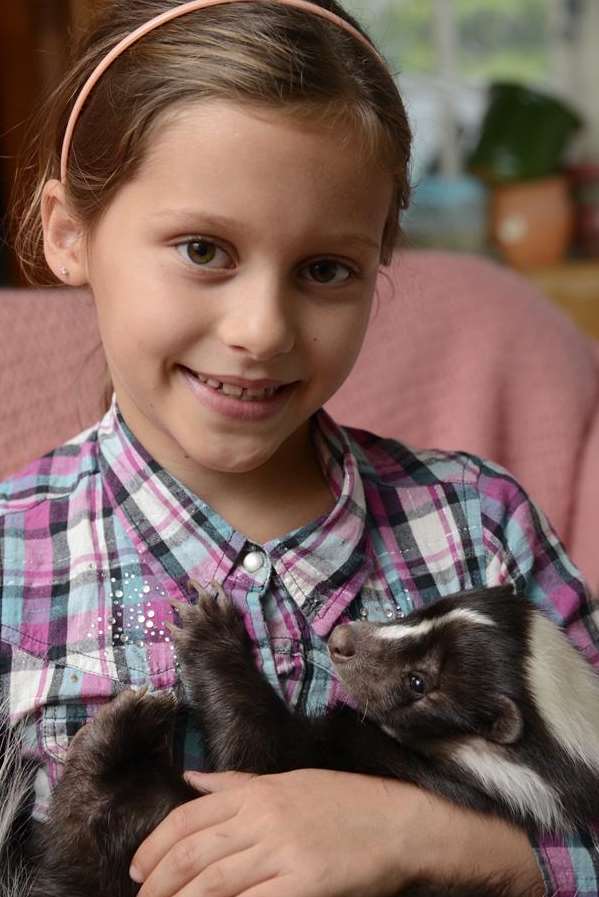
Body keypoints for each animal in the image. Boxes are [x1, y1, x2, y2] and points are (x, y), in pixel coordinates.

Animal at [1, 580, 599, 896]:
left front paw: (211, 631)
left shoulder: (330, 763)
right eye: (424, 610)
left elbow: (253, 749)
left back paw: (125, 726)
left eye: (419, 682)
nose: (344, 639)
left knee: (89, 822)